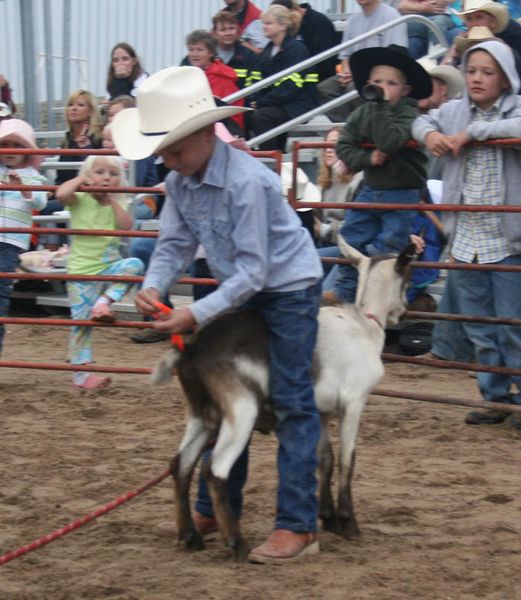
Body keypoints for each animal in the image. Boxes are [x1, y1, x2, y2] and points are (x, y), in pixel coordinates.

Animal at [151, 238, 414, 556]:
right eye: (408, 277)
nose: (404, 311)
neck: (364, 324)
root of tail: (192, 349)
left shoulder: (320, 412)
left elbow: (323, 459)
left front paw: (328, 518)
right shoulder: (354, 403)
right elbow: (346, 460)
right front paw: (349, 524)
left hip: (203, 415)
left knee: (181, 465)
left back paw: (190, 536)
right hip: (240, 411)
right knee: (215, 471)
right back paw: (236, 543)